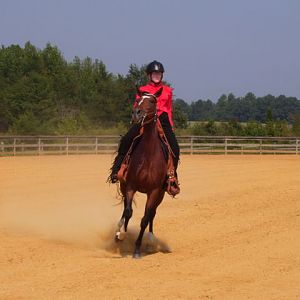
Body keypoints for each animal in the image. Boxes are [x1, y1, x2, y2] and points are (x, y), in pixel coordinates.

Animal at [114, 86, 169, 258]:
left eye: (152, 101)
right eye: (138, 99)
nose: (136, 113)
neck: (148, 156)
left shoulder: (154, 191)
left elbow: (145, 218)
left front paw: (137, 249)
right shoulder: (131, 185)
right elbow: (128, 211)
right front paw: (122, 234)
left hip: (160, 194)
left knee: (152, 213)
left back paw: (150, 240)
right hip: (124, 186)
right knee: (125, 209)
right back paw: (118, 232)